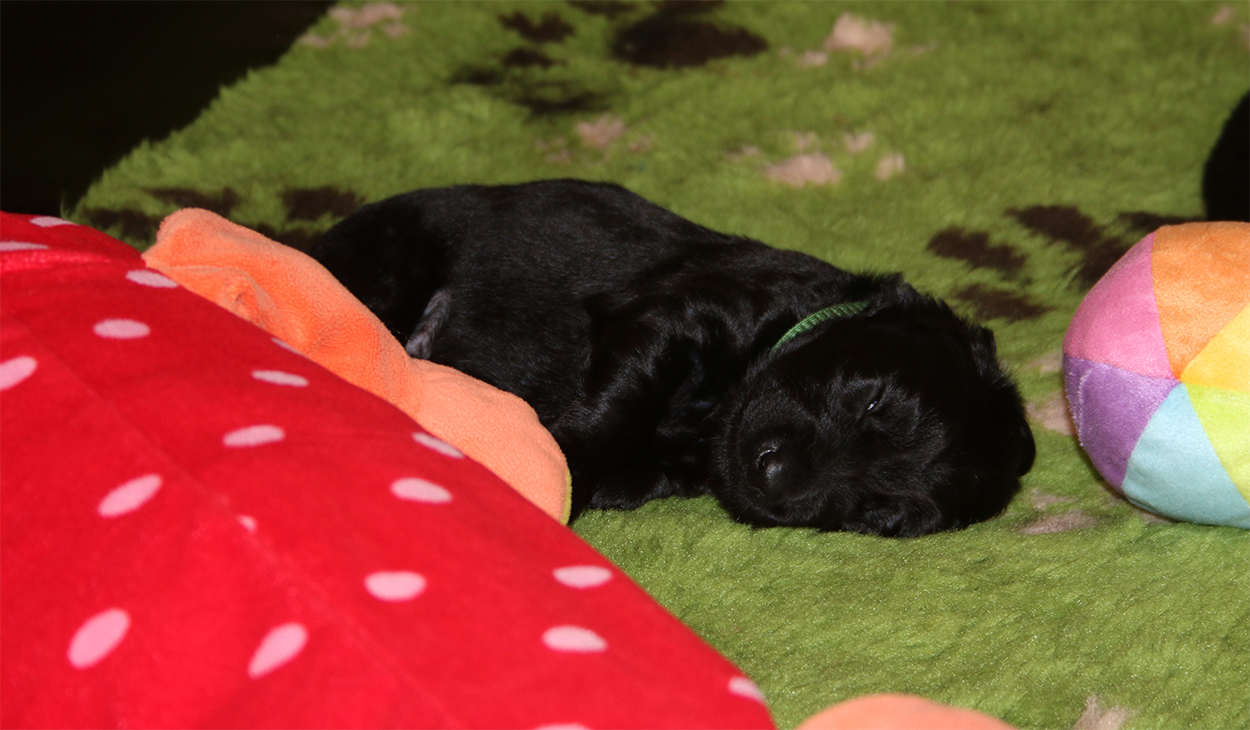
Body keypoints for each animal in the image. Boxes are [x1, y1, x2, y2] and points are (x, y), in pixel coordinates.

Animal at [309, 179, 1035, 537]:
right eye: (873, 397)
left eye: (882, 514)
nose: (777, 478)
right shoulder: (671, 317)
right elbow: (614, 411)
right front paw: (548, 465)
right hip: (390, 261)